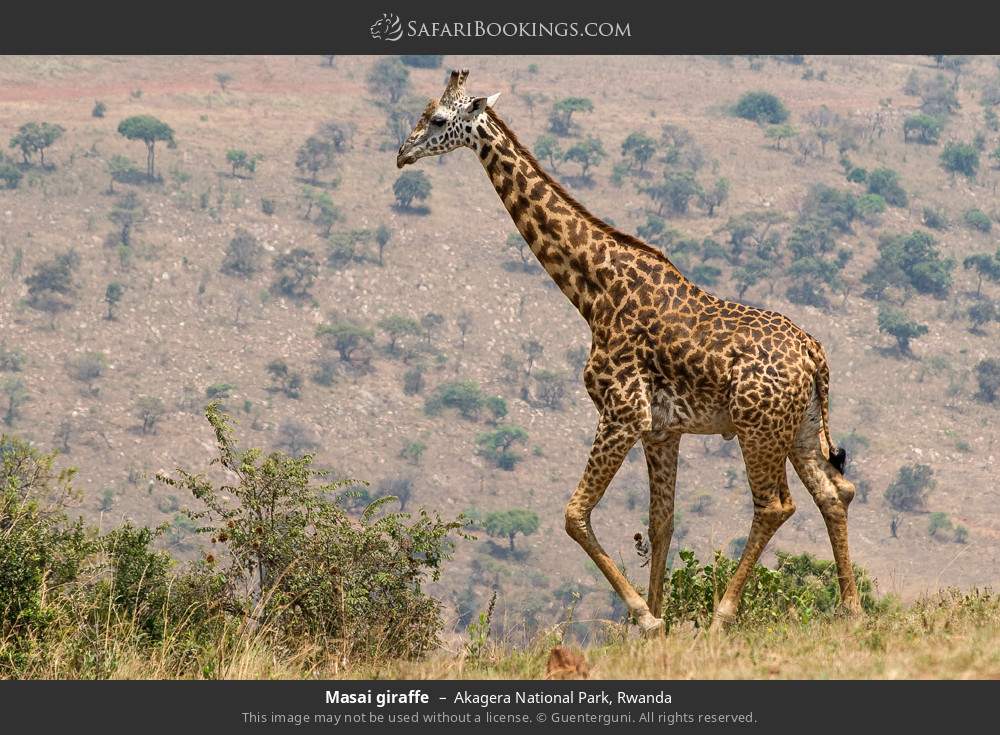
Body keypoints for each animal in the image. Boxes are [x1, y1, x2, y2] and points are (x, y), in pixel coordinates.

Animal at [396, 70, 861, 636]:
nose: (402, 154)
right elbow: (661, 523)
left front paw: (646, 618)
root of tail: (815, 356)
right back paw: (852, 610)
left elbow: (575, 514)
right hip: (800, 427)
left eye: (438, 119)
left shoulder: (622, 412)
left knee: (774, 506)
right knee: (833, 494)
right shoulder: (661, 428)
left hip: (758, 428)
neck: (593, 292)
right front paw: (656, 622)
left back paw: (722, 617)